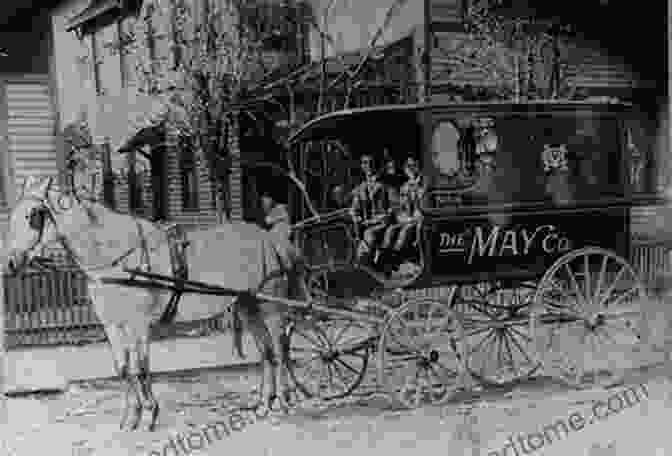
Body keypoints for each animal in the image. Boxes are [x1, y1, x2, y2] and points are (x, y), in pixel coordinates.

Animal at [5, 177, 308, 432]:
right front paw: (131, 416)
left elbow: (140, 366)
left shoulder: (138, 324)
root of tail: (270, 238)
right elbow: (123, 368)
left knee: (279, 349)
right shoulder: (113, 325)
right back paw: (264, 404)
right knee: (266, 352)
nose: (9, 263)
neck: (115, 256)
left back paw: (283, 400)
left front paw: (150, 412)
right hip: (248, 305)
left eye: (33, 215)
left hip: (270, 308)